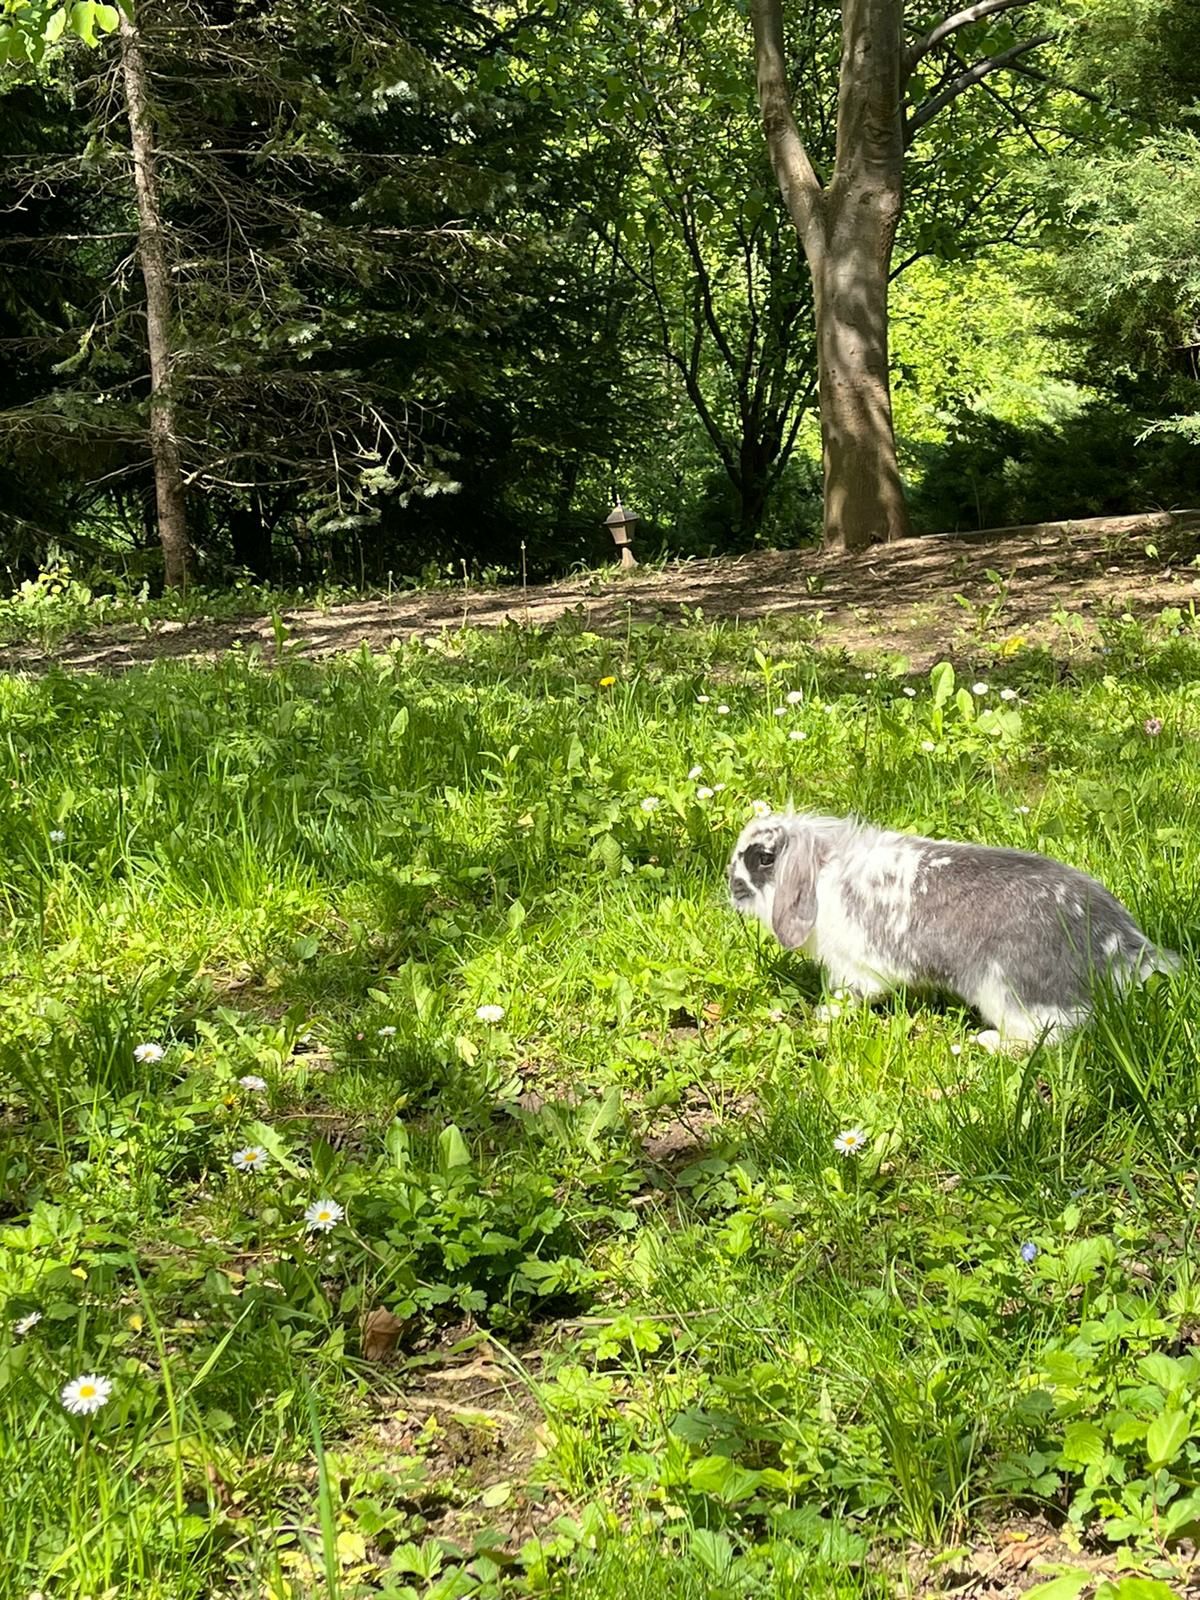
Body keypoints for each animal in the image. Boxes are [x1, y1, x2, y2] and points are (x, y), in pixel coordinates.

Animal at [729, 812, 1177, 1049]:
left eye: (763, 858)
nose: (731, 887)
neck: (821, 878)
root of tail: (1118, 944)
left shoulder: (855, 970)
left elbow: (849, 995)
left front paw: (824, 1015)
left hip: (1013, 996)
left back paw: (989, 1044)